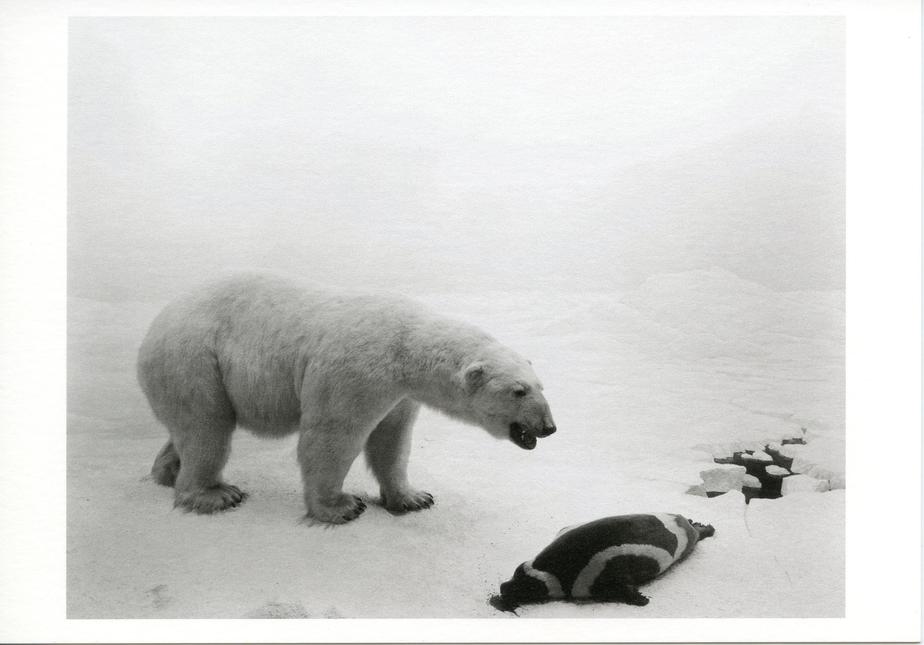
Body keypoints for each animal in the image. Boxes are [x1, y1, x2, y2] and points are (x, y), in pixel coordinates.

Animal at [137, 276, 556, 524]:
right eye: (518, 391)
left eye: (542, 386)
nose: (548, 427)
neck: (407, 345)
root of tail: (154, 325)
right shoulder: (357, 370)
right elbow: (333, 435)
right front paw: (341, 506)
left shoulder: (400, 393)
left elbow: (392, 440)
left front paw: (413, 497)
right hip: (195, 361)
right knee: (207, 428)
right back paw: (214, 494)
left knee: (190, 427)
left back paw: (167, 472)